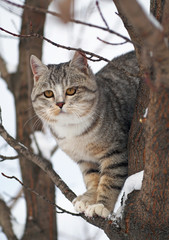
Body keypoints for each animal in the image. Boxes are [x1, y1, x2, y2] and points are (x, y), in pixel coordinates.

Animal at [30, 51, 139, 218]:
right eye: (48, 93)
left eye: (71, 90)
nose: (60, 104)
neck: (74, 133)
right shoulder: (84, 159)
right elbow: (92, 177)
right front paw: (89, 198)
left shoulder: (116, 150)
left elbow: (110, 179)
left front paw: (101, 205)